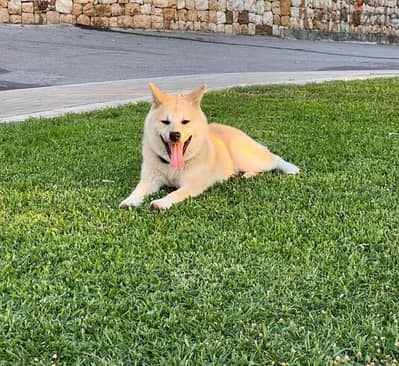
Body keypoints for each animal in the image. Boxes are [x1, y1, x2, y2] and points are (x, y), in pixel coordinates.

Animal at [119, 84, 300, 210]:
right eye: (165, 121)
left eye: (185, 121)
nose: (175, 135)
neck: (173, 166)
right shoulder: (150, 179)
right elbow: (138, 189)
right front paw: (129, 201)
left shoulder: (192, 185)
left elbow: (175, 193)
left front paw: (161, 202)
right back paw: (247, 174)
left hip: (246, 157)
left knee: (273, 158)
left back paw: (290, 168)